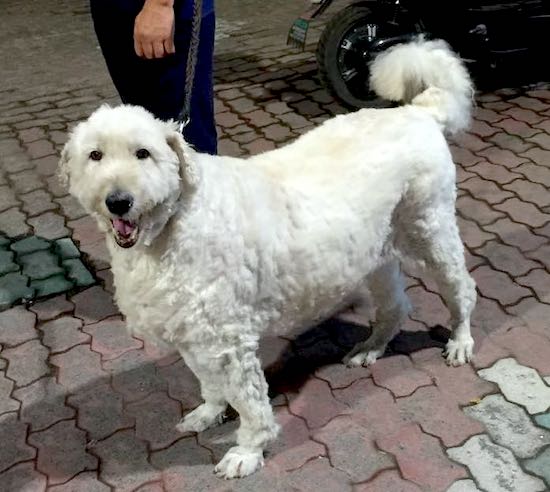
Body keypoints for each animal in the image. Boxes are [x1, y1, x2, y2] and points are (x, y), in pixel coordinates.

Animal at [58, 40, 476, 478]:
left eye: (143, 154)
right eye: (95, 156)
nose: (118, 201)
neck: (175, 222)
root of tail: (417, 111)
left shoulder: (230, 339)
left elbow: (250, 402)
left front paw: (248, 450)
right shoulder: (193, 332)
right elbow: (209, 383)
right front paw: (210, 412)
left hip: (431, 231)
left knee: (462, 288)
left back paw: (460, 340)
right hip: (375, 251)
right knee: (396, 304)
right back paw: (371, 348)